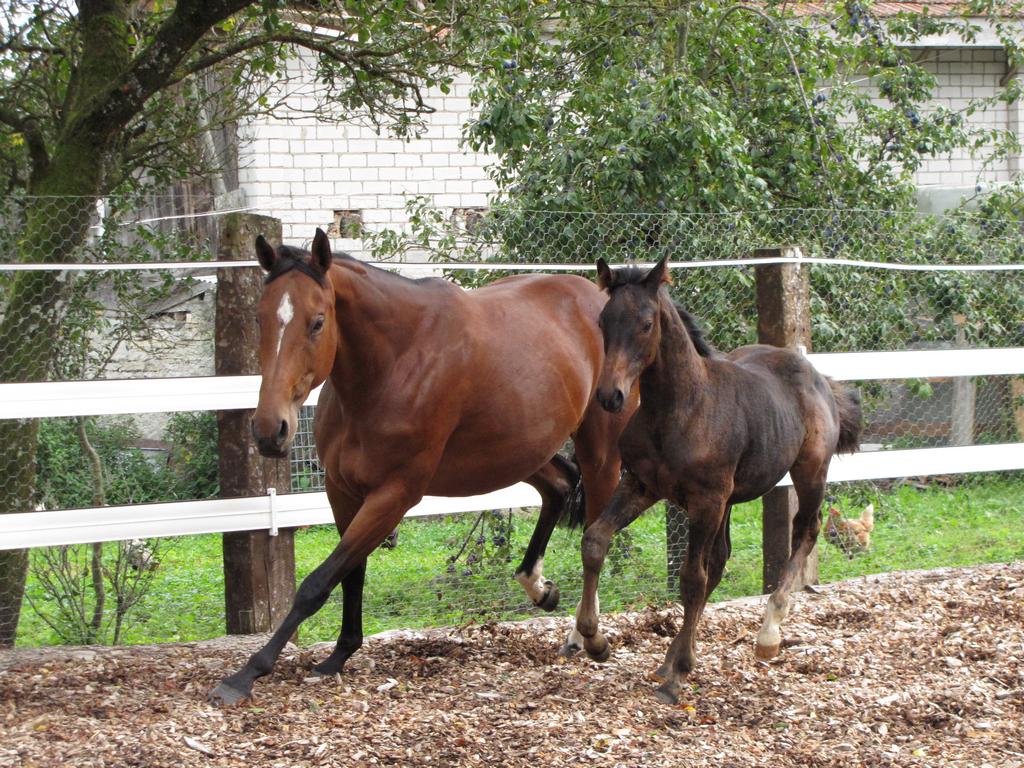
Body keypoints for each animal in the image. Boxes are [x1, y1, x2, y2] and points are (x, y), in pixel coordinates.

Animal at [208, 229, 633, 705]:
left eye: (317, 322)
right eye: (260, 319)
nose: (269, 430)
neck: (393, 364)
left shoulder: (395, 494)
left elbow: (316, 584)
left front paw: (247, 673)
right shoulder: (342, 491)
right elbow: (350, 573)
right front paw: (339, 654)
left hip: (598, 453)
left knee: (595, 531)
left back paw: (585, 637)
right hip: (516, 451)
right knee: (559, 486)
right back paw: (539, 588)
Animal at [573, 256, 862, 705]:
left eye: (646, 323)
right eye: (604, 321)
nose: (610, 396)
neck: (679, 409)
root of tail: (819, 377)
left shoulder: (706, 499)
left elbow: (692, 578)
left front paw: (677, 679)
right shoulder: (642, 485)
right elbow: (595, 540)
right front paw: (596, 641)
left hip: (809, 471)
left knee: (806, 530)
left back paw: (767, 635)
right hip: (730, 499)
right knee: (723, 558)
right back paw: (672, 656)